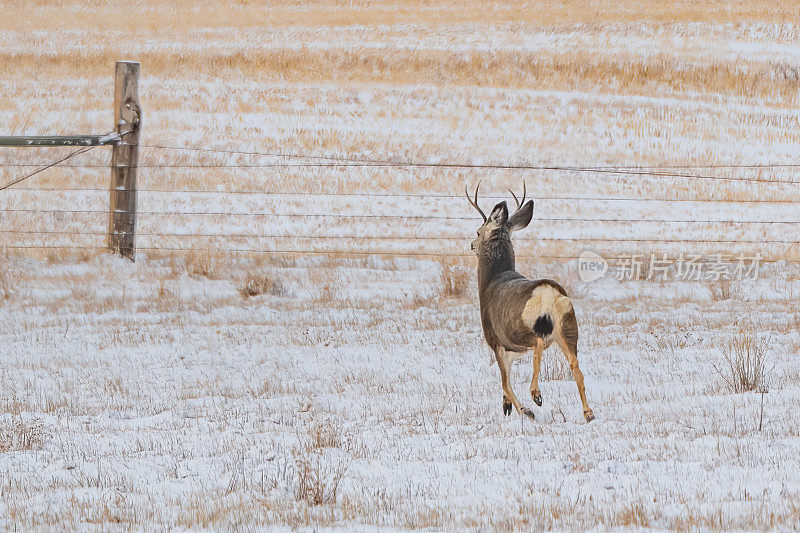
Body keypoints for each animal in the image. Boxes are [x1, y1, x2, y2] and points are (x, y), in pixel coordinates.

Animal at [462, 184, 592, 424]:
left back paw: (536, 395)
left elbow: (504, 381)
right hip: (569, 326)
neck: (491, 280)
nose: (472, 245)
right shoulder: (511, 350)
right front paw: (506, 406)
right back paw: (588, 413)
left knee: (538, 345)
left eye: (477, 232)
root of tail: (549, 293)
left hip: (523, 327)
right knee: (575, 365)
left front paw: (524, 410)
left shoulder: (496, 340)